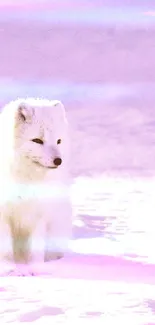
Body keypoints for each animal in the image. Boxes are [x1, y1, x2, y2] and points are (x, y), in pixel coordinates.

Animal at [0, 97, 72, 274]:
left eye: (58, 141)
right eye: (37, 140)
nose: (58, 161)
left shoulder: (39, 212)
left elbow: (36, 247)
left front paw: (36, 270)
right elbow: (5, 248)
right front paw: (8, 269)